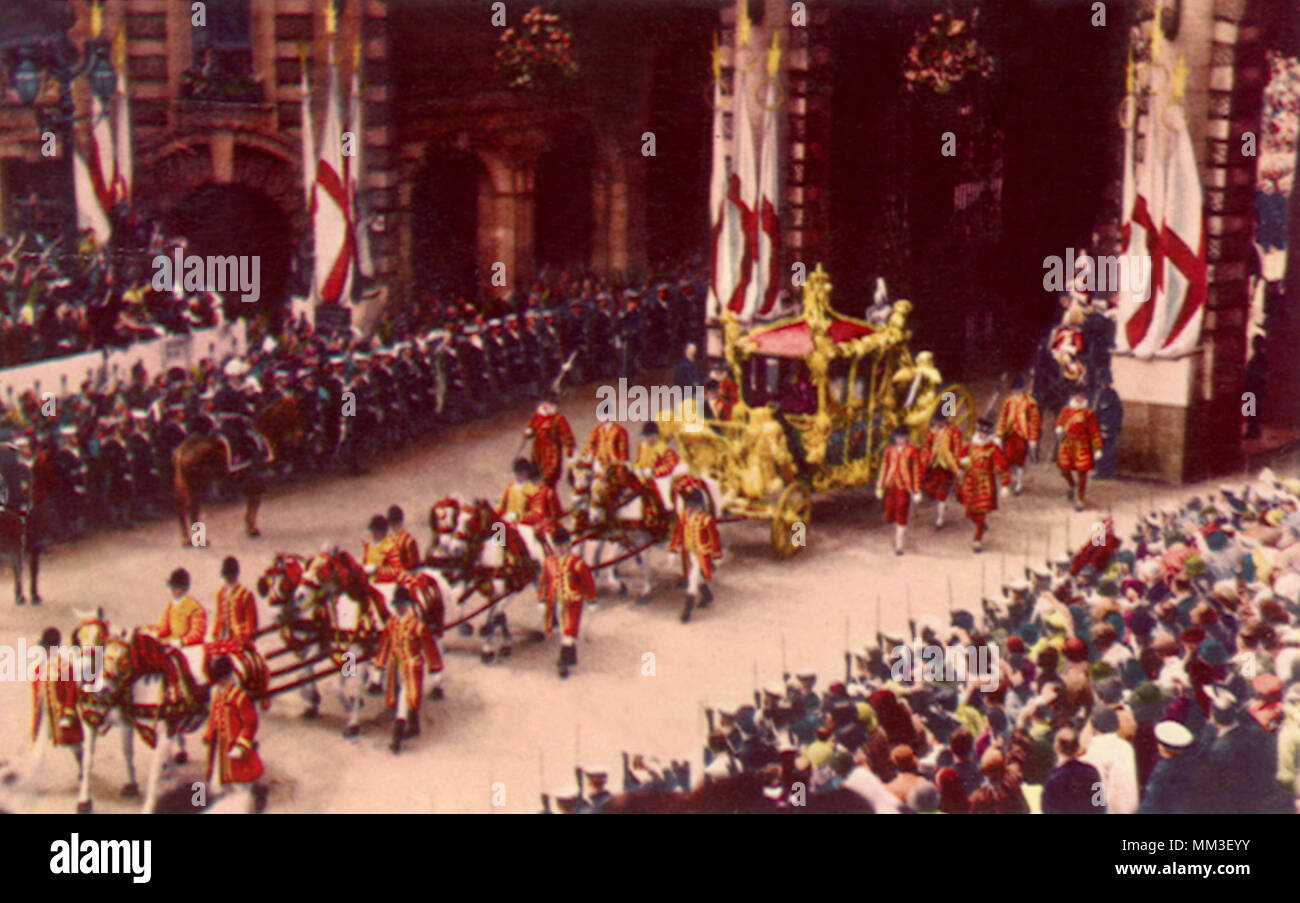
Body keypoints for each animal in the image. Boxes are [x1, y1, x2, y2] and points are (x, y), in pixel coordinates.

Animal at [172, 394, 304, 543]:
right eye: (296, 413)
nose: (300, 436)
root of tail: (182, 450)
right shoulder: (257, 480)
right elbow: (254, 504)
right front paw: (252, 529)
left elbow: (252, 504)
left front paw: (249, 527)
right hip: (196, 486)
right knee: (192, 509)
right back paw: (198, 539)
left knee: (182, 507)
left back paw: (186, 539)